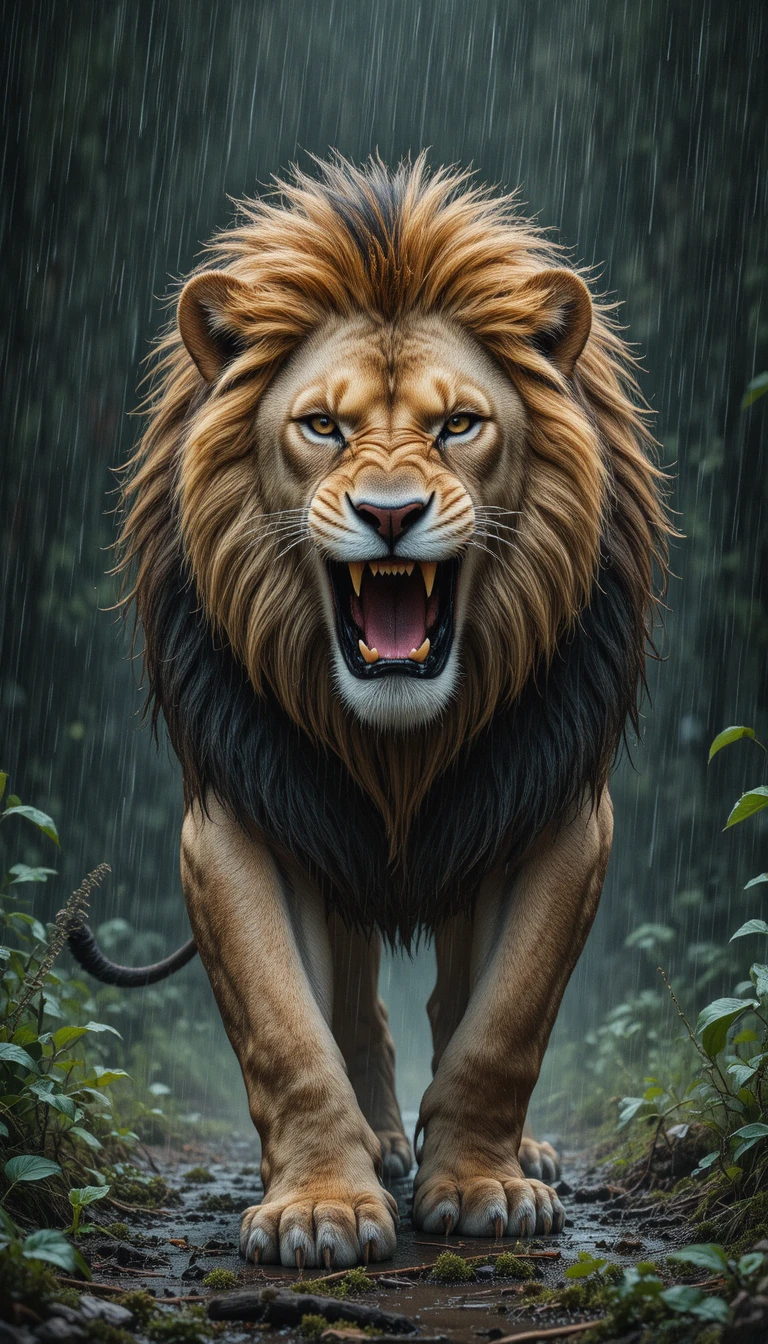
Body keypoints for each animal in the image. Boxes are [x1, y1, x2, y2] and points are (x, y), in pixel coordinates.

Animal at [70, 155, 668, 1269]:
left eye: (457, 424)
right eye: (324, 426)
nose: (391, 513)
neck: (398, 748)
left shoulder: (562, 810)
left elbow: (504, 1020)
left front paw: (483, 1185)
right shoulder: (239, 818)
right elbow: (286, 1031)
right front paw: (321, 1207)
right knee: (353, 1004)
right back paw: (382, 1144)